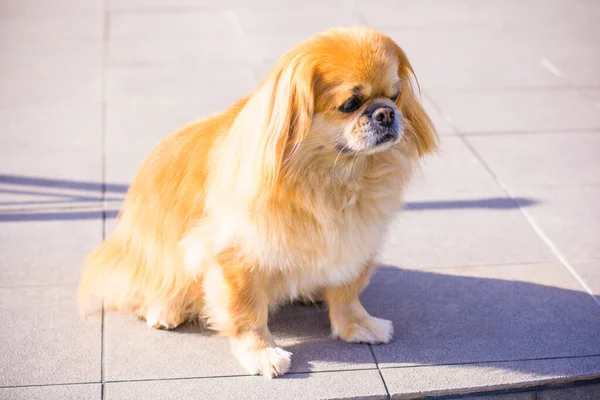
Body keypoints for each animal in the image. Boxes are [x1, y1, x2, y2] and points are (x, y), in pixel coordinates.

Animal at [78, 25, 436, 378]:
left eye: (394, 96)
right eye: (350, 103)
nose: (386, 113)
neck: (333, 178)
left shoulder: (356, 241)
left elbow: (348, 292)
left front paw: (357, 325)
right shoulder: (237, 256)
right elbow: (246, 312)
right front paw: (261, 353)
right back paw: (164, 309)